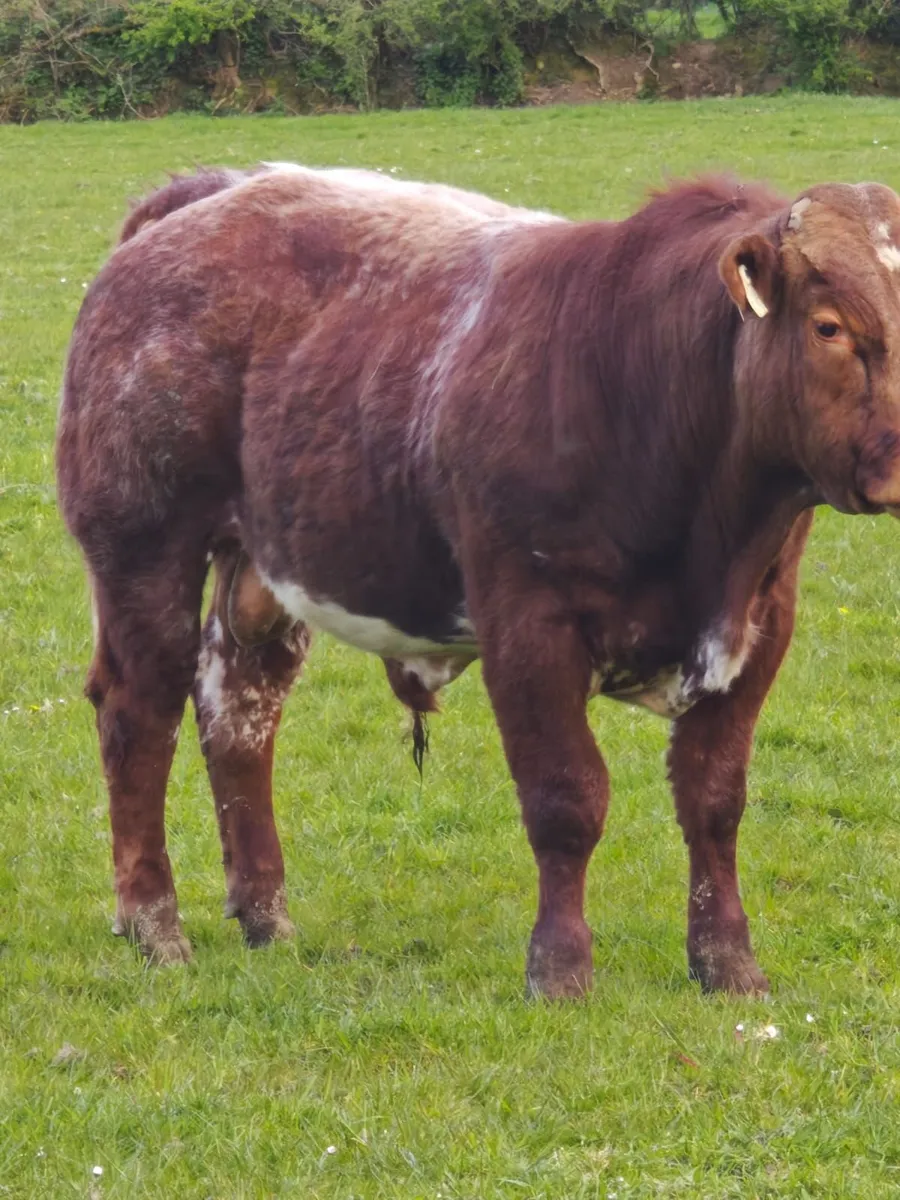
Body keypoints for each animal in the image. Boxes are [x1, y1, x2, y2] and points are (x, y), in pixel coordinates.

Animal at [56, 164, 900, 1001]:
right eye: (829, 326)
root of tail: (215, 189)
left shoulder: (760, 626)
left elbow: (714, 800)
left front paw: (728, 964)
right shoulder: (528, 624)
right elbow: (567, 799)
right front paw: (559, 970)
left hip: (264, 569)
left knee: (238, 712)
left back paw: (267, 917)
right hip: (143, 549)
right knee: (139, 717)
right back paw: (155, 927)